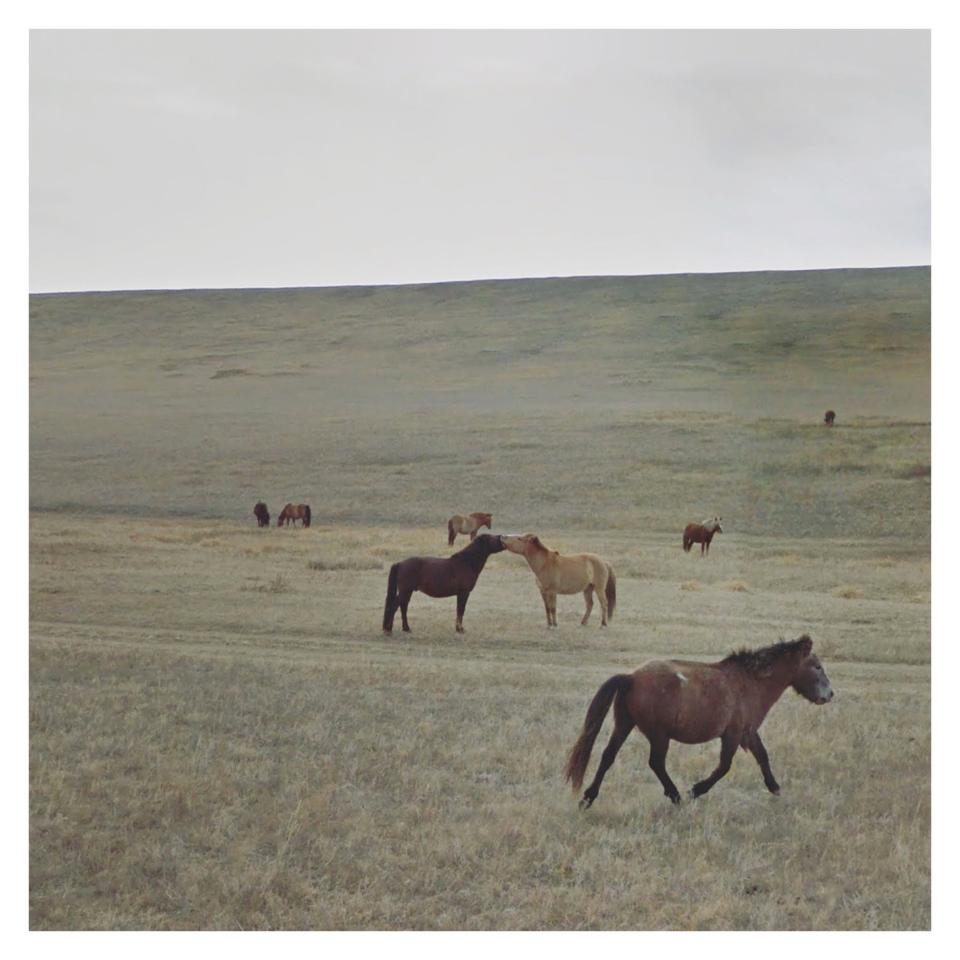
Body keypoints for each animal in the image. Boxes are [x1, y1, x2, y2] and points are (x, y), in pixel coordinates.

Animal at [564, 636, 832, 808]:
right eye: (817, 666)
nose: (829, 694)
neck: (750, 682)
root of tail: (631, 677)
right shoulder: (733, 734)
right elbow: (724, 767)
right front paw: (695, 790)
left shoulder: (748, 732)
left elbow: (763, 757)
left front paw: (776, 789)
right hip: (659, 735)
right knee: (656, 763)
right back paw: (676, 796)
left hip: (624, 725)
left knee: (608, 756)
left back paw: (588, 798)